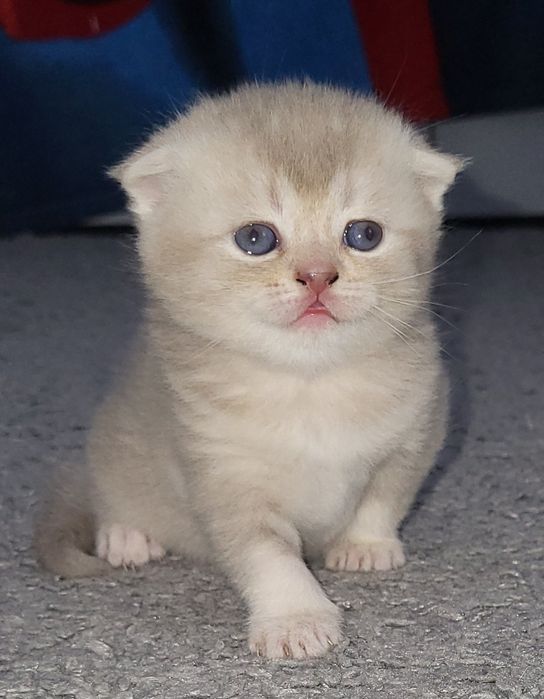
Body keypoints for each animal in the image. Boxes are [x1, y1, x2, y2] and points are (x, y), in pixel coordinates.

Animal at [35, 82, 463, 659]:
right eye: (256, 239)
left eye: (364, 234)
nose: (317, 276)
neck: (310, 386)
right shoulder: (222, 474)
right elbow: (268, 556)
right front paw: (296, 619)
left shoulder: (419, 428)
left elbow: (385, 495)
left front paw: (365, 546)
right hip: (114, 447)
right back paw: (126, 535)